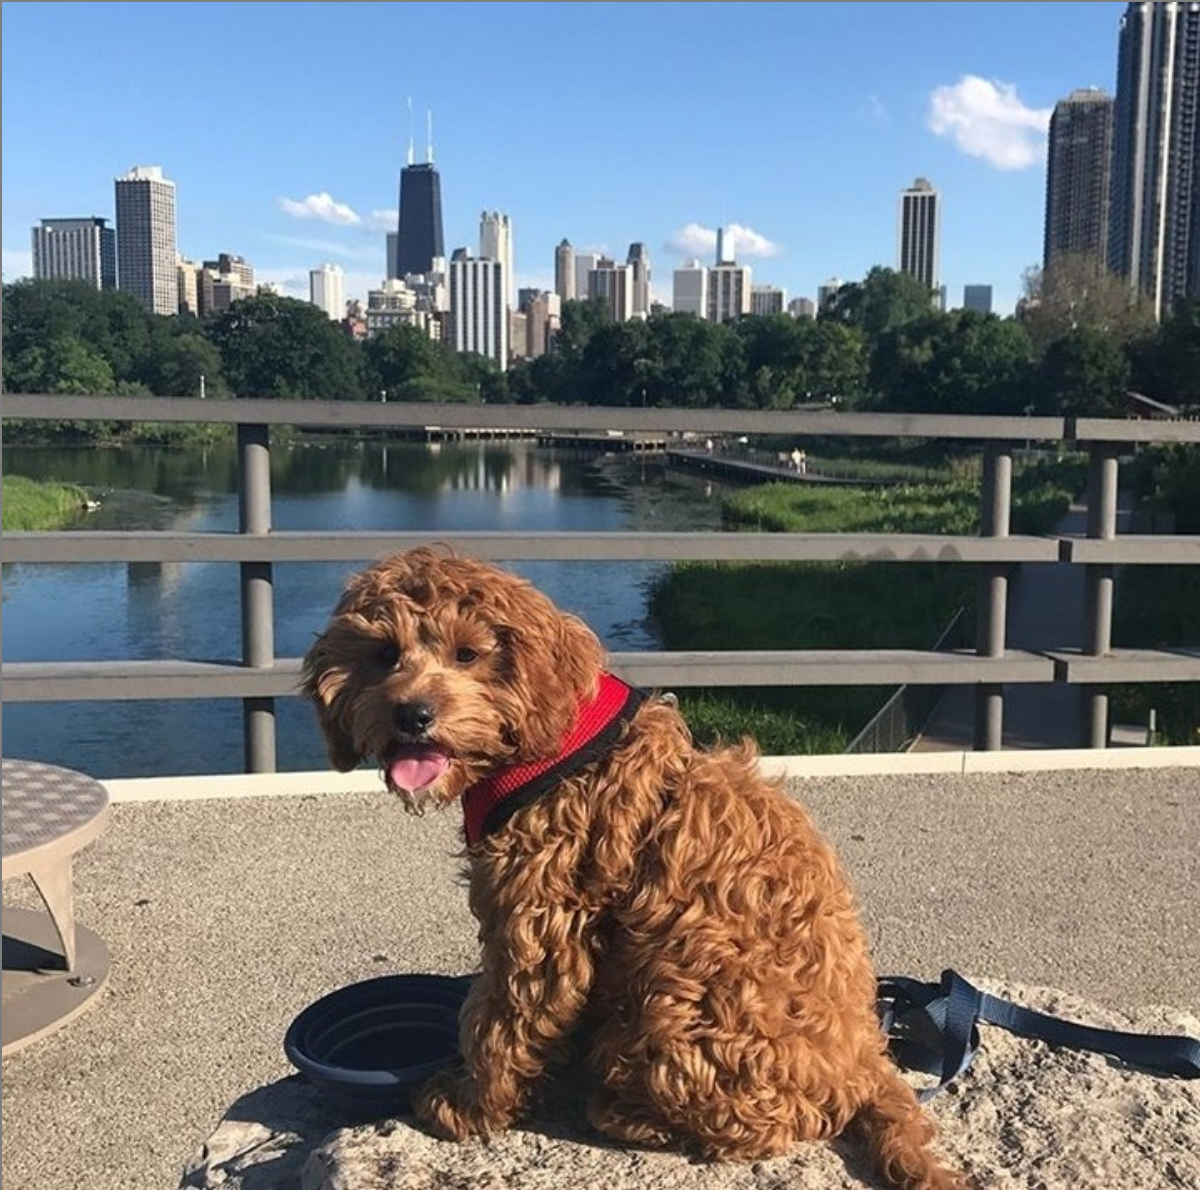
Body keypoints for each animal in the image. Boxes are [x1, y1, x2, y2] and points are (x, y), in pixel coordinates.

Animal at [302, 551, 964, 1190]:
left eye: (468, 653)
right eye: (383, 654)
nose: (411, 714)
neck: (558, 741)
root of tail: (865, 1064)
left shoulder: (541, 913)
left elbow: (501, 1017)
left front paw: (469, 1104)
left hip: (684, 992)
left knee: (762, 1126)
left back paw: (629, 1114)